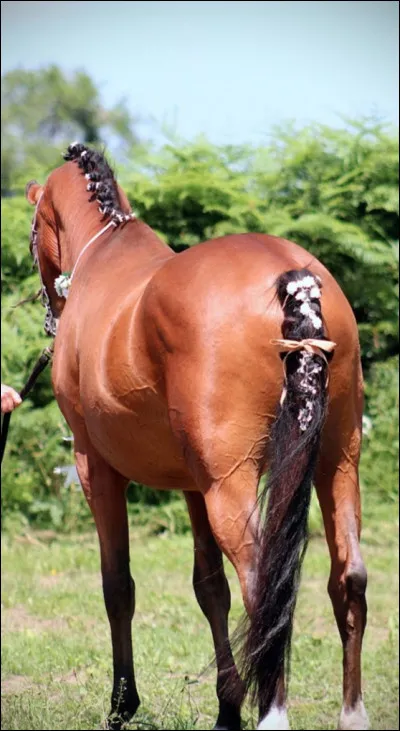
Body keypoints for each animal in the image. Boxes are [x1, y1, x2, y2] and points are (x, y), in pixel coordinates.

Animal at [24, 142, 368, 731]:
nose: (49, 311)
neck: (106, 256)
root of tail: (292, 279)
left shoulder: (96, 468)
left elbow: (118, 585)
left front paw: (122, 704)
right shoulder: (192, 483)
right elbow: (210, 587)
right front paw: (227, 708)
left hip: (231, 486)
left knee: (264, 587)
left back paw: (273, 714)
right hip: (337, 462)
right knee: (349, 579)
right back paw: (352, 714)